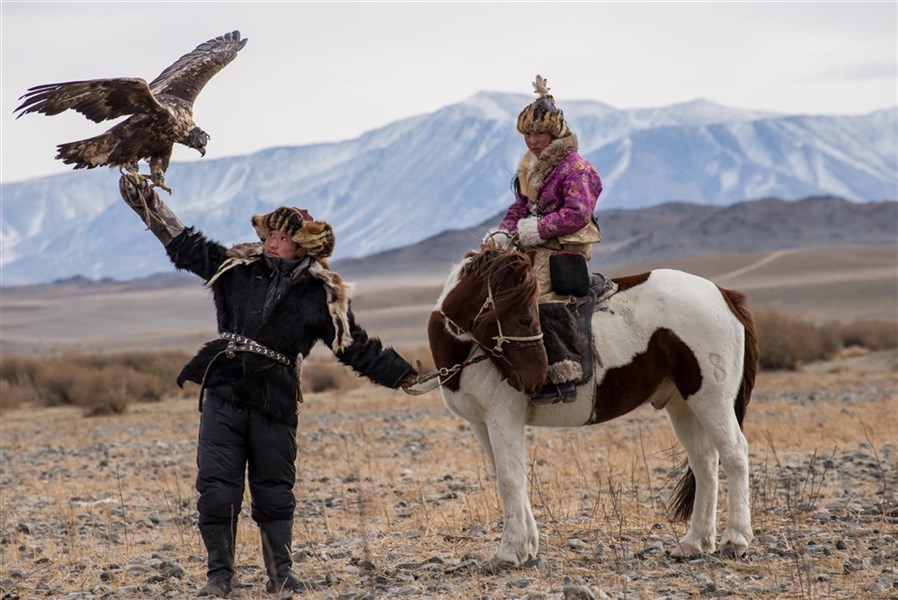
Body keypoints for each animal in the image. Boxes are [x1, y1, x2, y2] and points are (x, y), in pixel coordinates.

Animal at [428, 247, 756, 568]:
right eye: (523, 319)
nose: (536, 377)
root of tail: (724, 294)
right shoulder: (481, 424)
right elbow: (508, 475)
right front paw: (527, 546)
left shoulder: (503, 418)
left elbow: (509, 480)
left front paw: (509, 552)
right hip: (683, 405)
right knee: (705, 463)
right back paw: (693, 544)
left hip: (712, 399)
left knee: (734, 454)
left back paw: (735, 540)